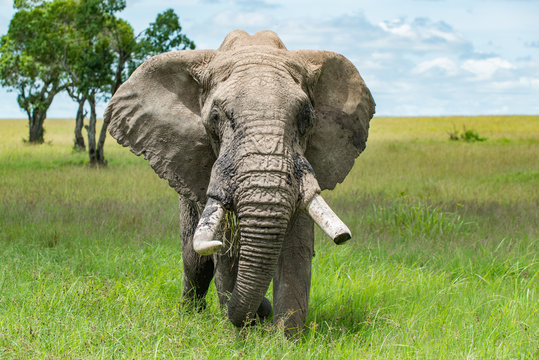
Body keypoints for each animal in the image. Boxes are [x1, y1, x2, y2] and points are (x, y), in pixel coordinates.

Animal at [105, 29, 376, 336]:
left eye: (306, 118)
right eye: (215, 117)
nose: (260, 314)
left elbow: (296, 246)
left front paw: (284, 339)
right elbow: (225, 251)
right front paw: (242, 333)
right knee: (195, 261)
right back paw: (190, 315)